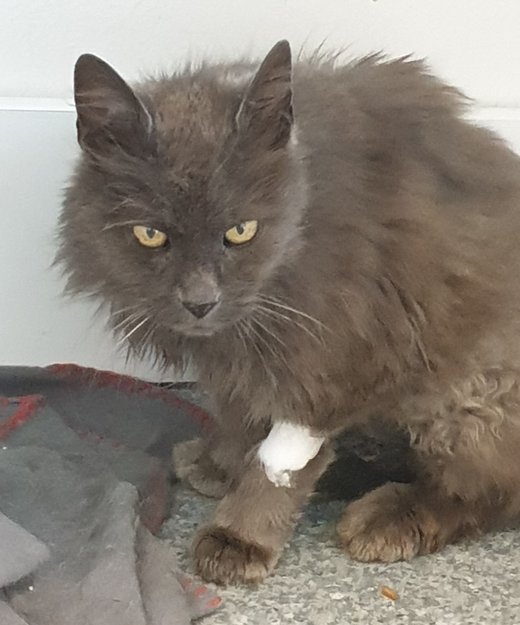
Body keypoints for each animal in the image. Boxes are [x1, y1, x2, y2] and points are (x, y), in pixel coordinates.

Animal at [57, 39, 520, 585]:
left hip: (469, 391)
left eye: (241, 231)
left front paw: (238, 537)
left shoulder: (341, 349)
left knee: (487, 490)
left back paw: (388, 515)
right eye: (150, 234)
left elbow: (282, 463)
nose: (200, 301)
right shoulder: (242, 354)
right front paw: (221, 463)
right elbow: (239, 411)